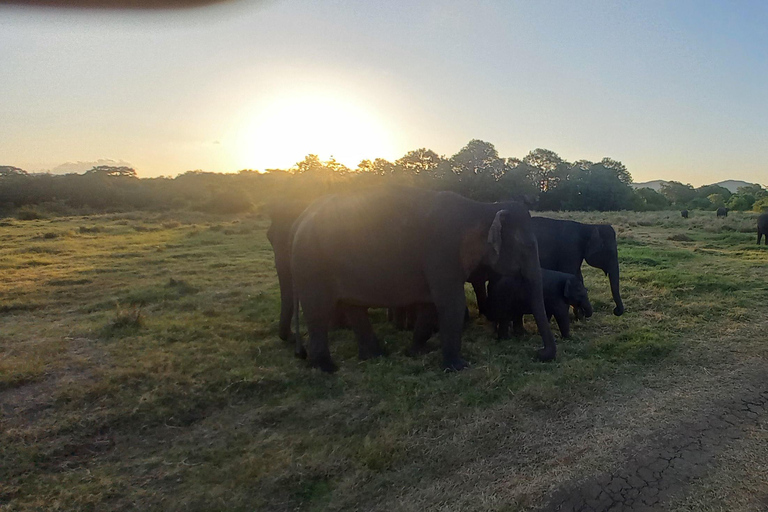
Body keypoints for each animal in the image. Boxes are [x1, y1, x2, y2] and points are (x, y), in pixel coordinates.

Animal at [292, 186, 556, 370]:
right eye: (528, 246)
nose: (539, 353)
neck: (482, 207)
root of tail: (301, 219)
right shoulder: (442, 253)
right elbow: (451, 303)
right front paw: (458, 367)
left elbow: (430, 305)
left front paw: (417, 351)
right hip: (312, 266)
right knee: (318, 311)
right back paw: (327, 368)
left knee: (353, 307)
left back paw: (374, 355)